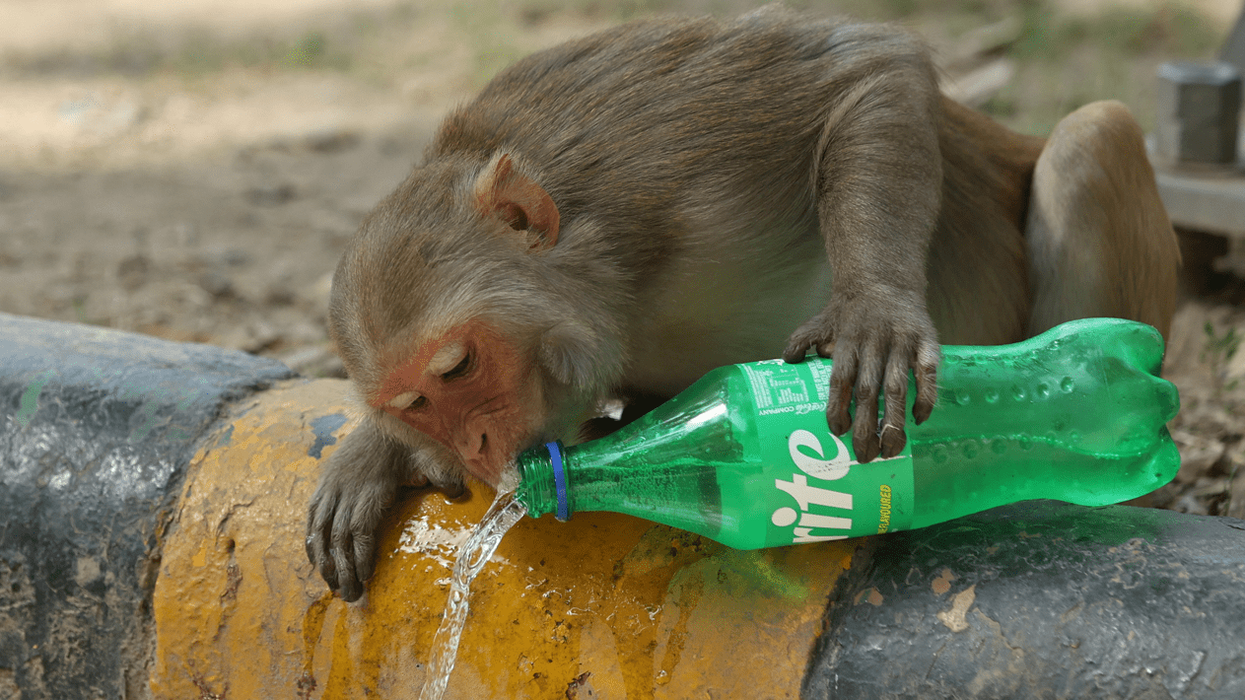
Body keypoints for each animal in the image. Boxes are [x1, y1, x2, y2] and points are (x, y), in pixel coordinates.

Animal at [305, 6, 1180, 602]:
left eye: (457, 366)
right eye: (416, 404)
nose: (478, 448)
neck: (616, 284)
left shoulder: (657, 146)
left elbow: (868, 65)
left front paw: (874, 310)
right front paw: (372, 456)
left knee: (1090, 137)